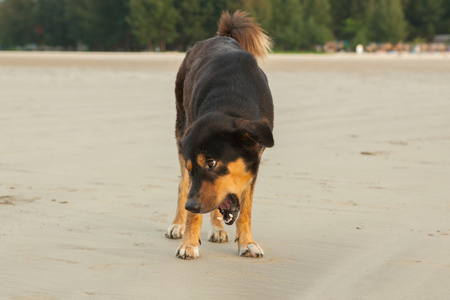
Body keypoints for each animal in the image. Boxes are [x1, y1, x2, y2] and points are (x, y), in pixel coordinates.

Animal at [165, 10, 274, 258]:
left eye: (212, 163)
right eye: (192, 168)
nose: (190, 205)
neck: (229, 105)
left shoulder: (254, 164)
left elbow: (246, 209)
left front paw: (247, 242)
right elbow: (192, 203)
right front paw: (188, 243)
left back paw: (216, 227)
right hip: (180, 128)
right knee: (182, 185)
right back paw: (178, 224)